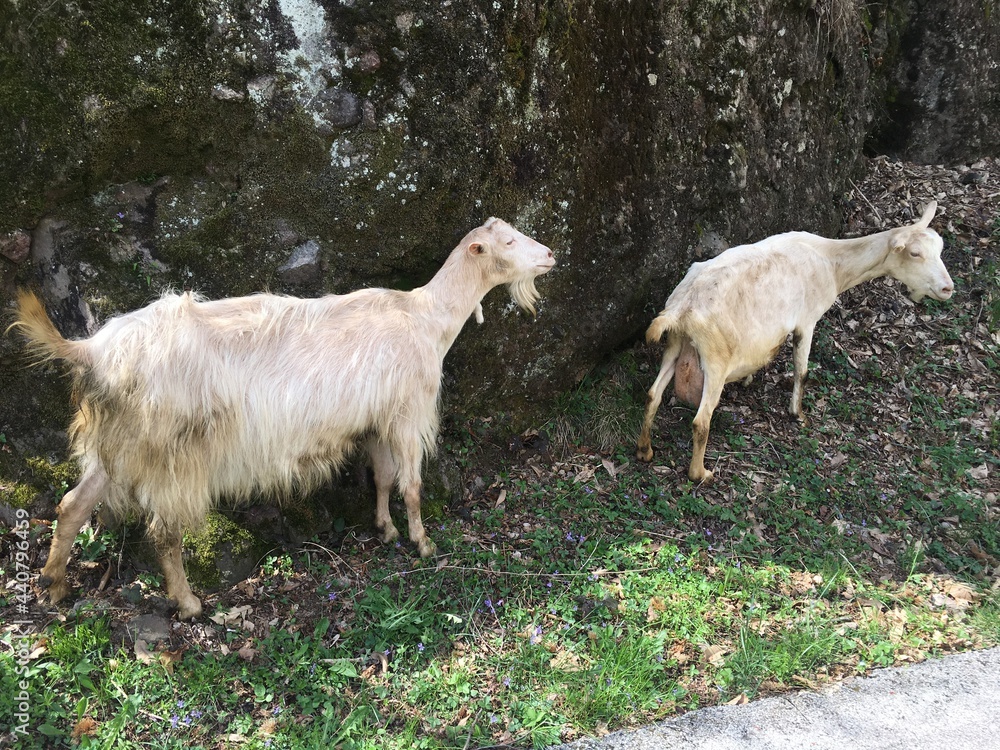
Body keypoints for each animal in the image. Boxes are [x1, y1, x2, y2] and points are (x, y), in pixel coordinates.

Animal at [12, 218, 555, 619]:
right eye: (508, 241)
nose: (550, 254)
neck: (424, 316)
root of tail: (93, 349)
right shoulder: (406, 413)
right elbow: (413, 485)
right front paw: (423, 544)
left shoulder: (376, 419)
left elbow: (381, 478)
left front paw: (385, 530)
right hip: (172, 452)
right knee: (164, 531)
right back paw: (188, 604)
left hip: (121, 444)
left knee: (73, 504)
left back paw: (53, 586)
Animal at [637, 202, 953, 482]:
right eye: (914, 253)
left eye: (939, 249)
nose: (947, 289)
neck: (831, 262)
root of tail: (683, 307)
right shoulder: (807, 320)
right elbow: (802, 371)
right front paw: (797, 414)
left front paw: (750, 379)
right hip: (715, 360)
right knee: (701, 421)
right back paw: (700, 473)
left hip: (675, 345)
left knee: (652, 395)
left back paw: (645, 450)